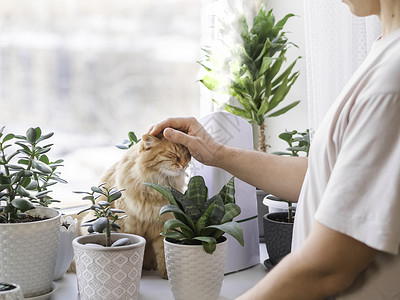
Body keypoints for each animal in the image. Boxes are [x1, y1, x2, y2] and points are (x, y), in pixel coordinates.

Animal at [83, 134, 190, 278]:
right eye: (173, 154)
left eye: (187, 154)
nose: (184, 164)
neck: (155, 188)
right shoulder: (129, 225)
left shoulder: (163, 225)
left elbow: (164, 254)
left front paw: (167, 275)